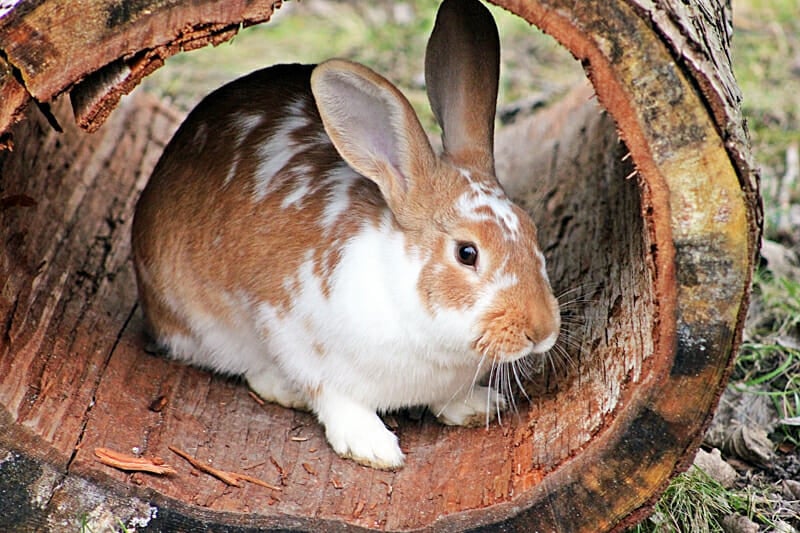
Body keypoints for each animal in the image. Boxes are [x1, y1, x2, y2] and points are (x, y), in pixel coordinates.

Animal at [131, 0, 560, 468]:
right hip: (203, 323)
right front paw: (374, 448)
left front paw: (476, 406)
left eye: (531, 229)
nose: (542, 331)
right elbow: (334, 397)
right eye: (467, 252)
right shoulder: (298, 339)